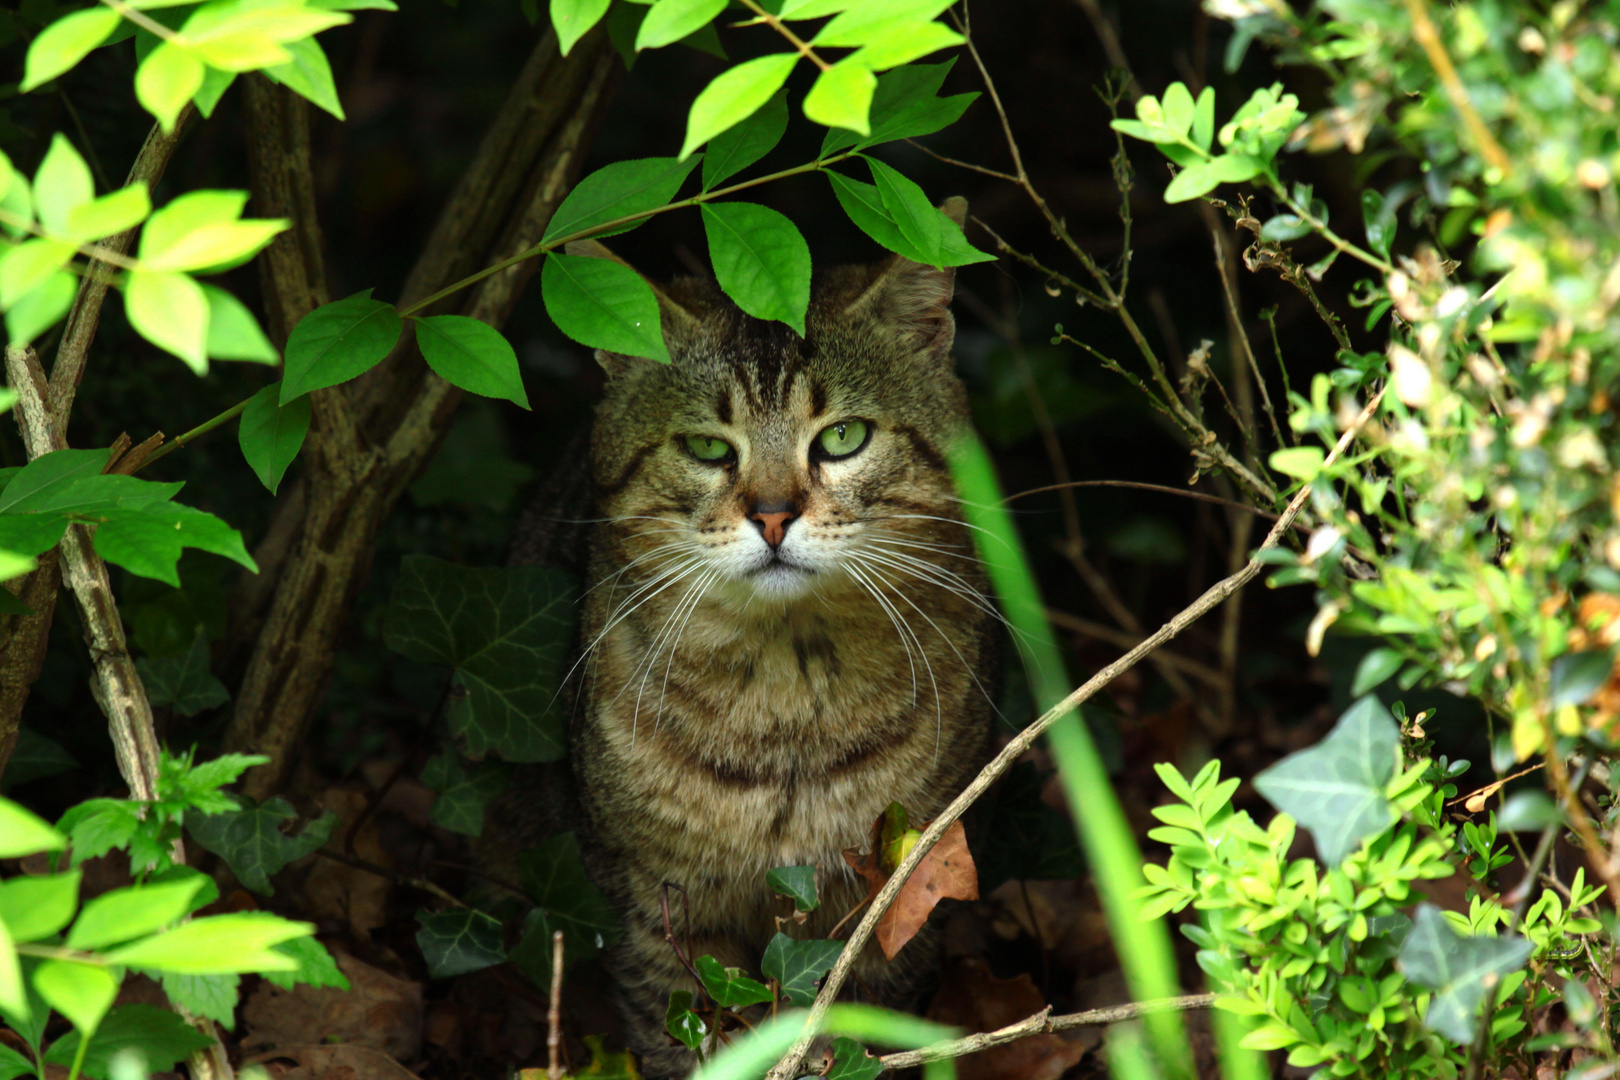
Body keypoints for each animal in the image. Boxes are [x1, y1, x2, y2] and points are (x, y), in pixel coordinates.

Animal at [573, 204, 997, 1080]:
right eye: (707, 447)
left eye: (843, 438)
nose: (772, 515)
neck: (784, 697)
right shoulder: (656, 916)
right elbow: (685, 1037)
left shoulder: (889, 913)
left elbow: (854, 1032)